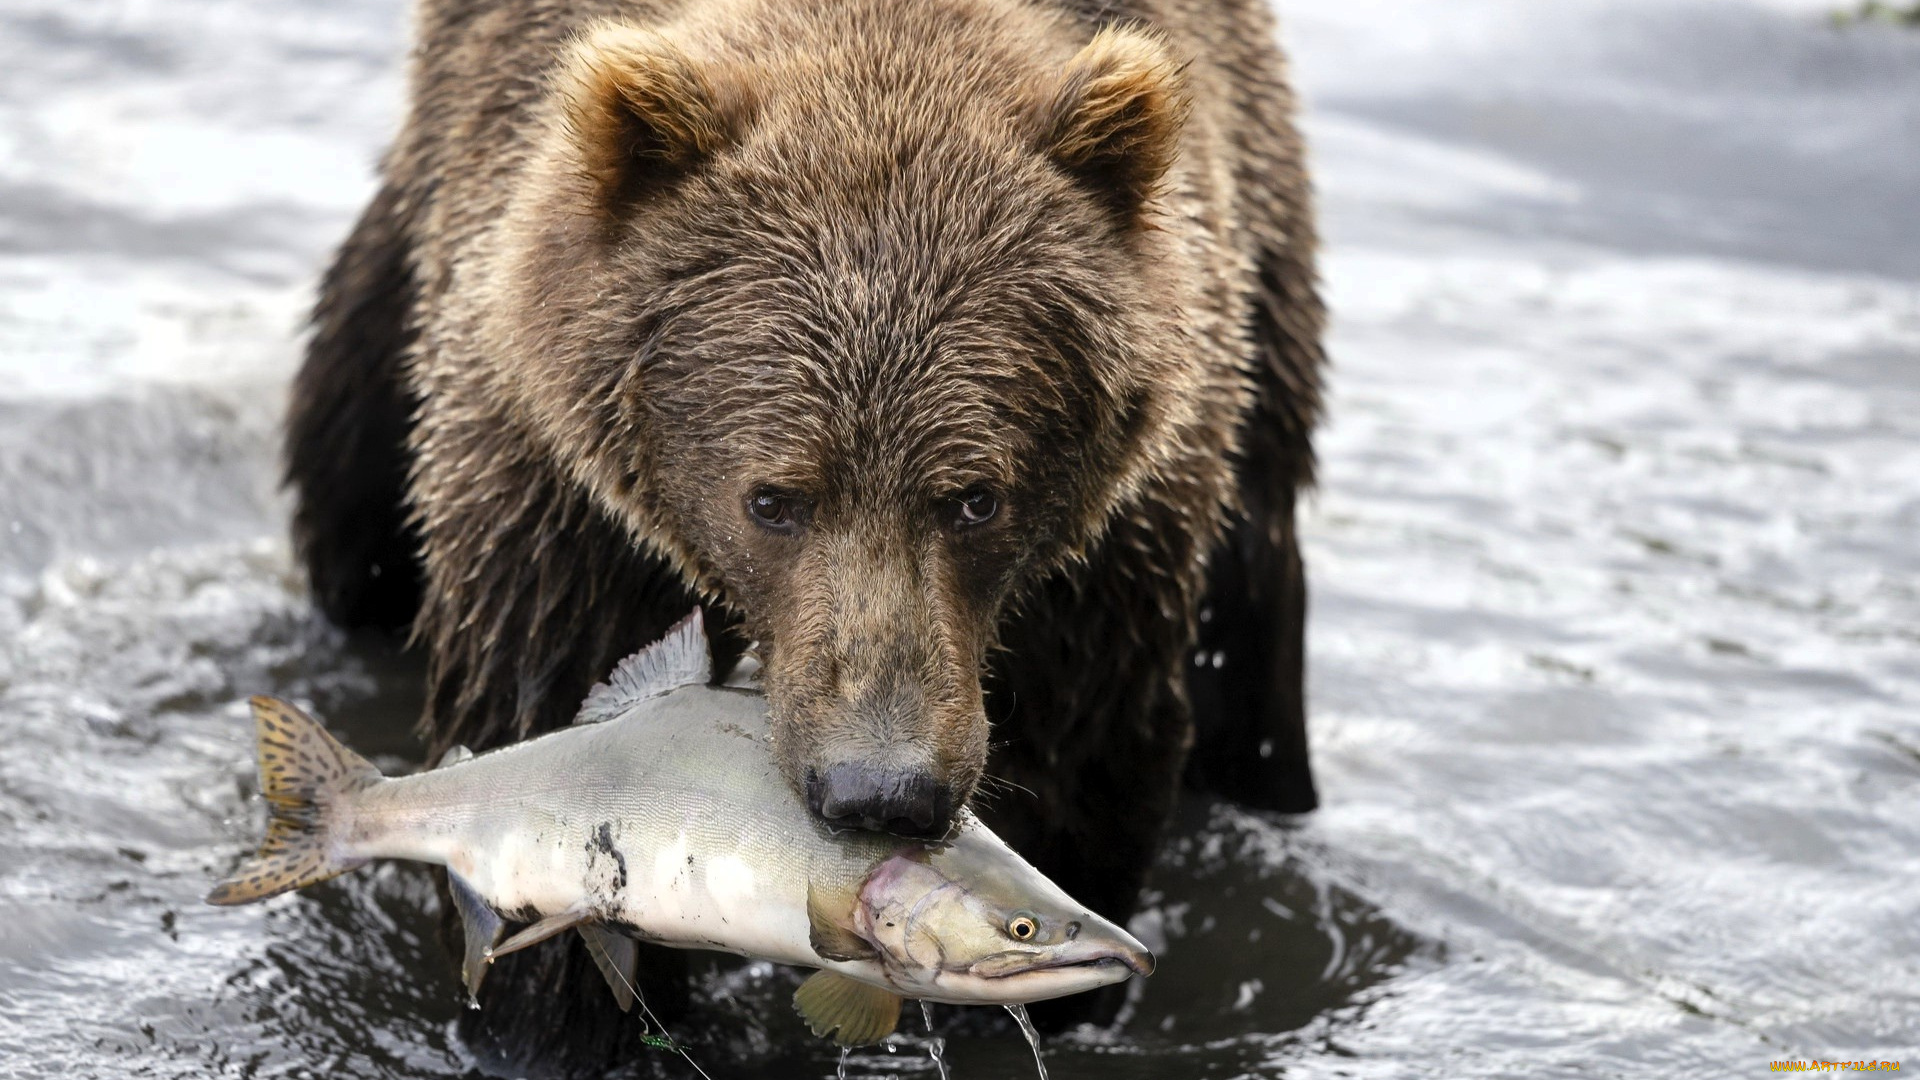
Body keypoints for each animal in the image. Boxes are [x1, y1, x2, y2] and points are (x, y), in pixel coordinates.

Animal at [288, 0, 1320, 1060]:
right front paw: (561, 1025)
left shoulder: (1113, 557)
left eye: (976, 497)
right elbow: (537, 713)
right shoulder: (556, 492)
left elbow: (1087, 771)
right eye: (773, 499)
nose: (882, 790)